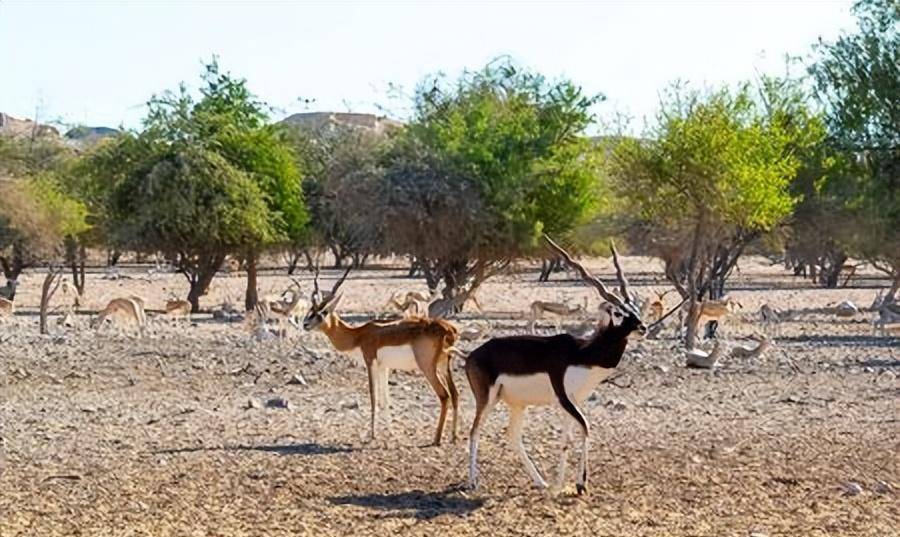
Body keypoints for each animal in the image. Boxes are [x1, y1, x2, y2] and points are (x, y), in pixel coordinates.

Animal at [302, 266, 460, 444]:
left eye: (323, 311)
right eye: (311, 310)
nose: (305, 324)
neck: (358, 335)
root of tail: (448, 329)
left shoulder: (370, 361)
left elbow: (373, 397)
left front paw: (372, 434)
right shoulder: (384, 367)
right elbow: (385, 400)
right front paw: (391, 432)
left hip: (428, 368)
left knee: (444, 395)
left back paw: (436, 439)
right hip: (444, 365)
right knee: (455, 394)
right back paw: (454, 436)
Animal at [464, 237, 648, 492]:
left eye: (636, 310)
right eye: (619, 313)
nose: (643, 328)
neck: (582, 354)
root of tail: (473, 355)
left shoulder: (574, 401)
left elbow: (567, 439)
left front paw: (567, 484)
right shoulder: (563, 398)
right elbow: (584, 429)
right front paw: (575, 483)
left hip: (517, 404)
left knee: (512, 436)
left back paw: (540, 481)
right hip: (487, 398)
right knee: (474, 431)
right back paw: (473, 482)